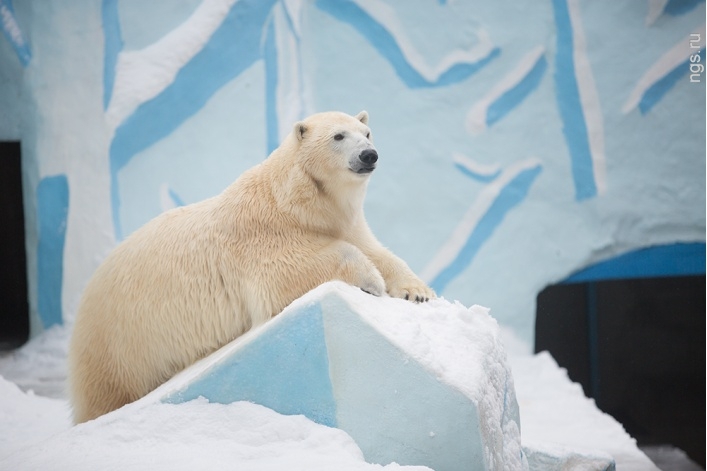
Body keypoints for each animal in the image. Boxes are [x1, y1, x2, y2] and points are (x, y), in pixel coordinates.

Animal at [68, 110, 432, 424]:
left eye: (366, 133)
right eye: (338, 136)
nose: (369, 155)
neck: (293, 204)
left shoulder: (346, 224)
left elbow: (379, 252)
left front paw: (417, 292)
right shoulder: (259, 236)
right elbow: (288, 272)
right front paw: (370, 280)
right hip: (120, 343)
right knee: (108, 392)